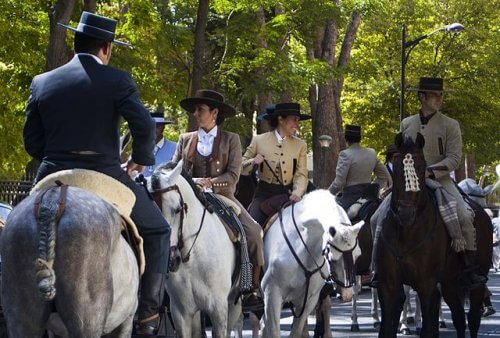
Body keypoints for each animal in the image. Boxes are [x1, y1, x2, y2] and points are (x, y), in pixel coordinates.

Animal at [149, 162, 241, 338]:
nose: (171, 260)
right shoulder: (180, 312)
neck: (192, 258)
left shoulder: (219, 308)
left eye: (177, 209)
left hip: (234, 303)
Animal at [260, 190, 362, 338]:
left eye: (357, 255)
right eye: (333, 257)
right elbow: (273, 331)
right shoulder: (272, 293)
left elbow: (297, 331)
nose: (347, 294)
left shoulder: (308, 300)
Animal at [376, 133, 490, 338]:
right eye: (395, 169)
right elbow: (387, 328)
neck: (406, 233)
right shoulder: (388, 285)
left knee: (472, 318)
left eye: (422, 168)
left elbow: (428, 329)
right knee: (459, 317)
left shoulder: (427, 284)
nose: (406, 214)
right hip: (449, 283)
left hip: (476, 280)